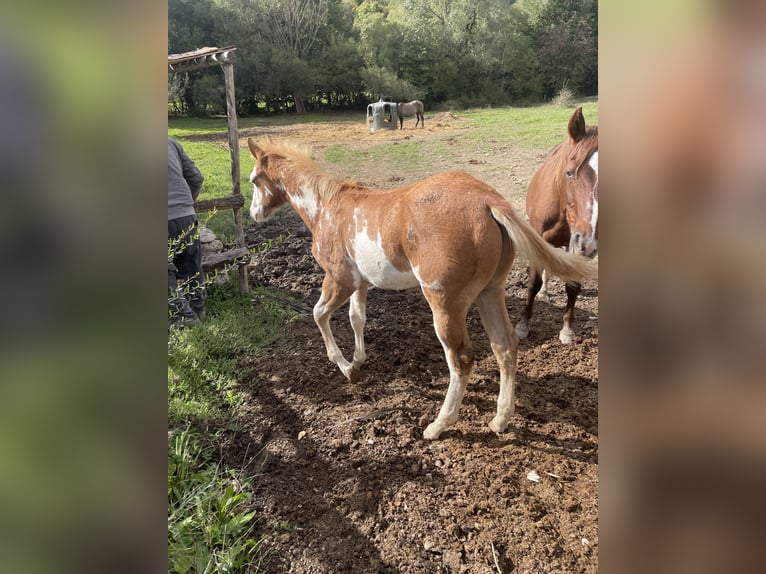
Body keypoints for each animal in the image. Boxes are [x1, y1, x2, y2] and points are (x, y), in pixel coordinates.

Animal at [246, 137, 596, 439]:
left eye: (253, 180)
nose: (254, 214)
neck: (327, 208)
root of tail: (488, 200)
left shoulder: (339, 279)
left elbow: (319, 314)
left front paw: (346, 368)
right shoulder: (361, 283)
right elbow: (357, 319)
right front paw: (358, 361)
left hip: (444, 303)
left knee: (461, 358)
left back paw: (438, 426)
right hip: (490, 292)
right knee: (505, 345)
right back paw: (500, 419)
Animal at [515, 106, 598, 345]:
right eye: (569, 173)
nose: (588, 241)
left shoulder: (578, 247)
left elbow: (573, 285)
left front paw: (567, 329)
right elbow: (533, 282)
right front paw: (522, 325)